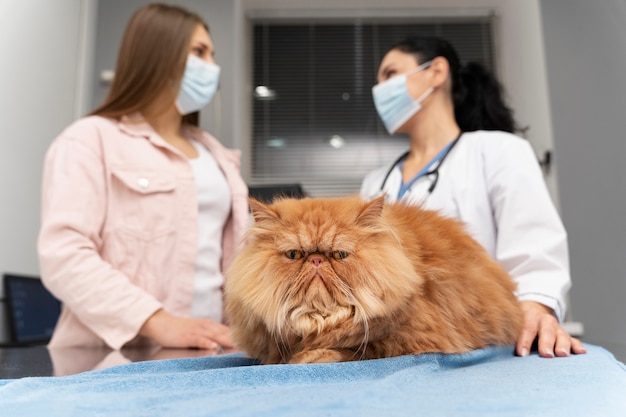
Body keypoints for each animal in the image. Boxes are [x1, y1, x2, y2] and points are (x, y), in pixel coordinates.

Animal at [224, 197, 520, 362]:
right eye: (295, 255)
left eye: (340, 255)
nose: (317, 260)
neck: (319, 319)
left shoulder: (412, 339)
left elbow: (357, 348)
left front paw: (310, 356)